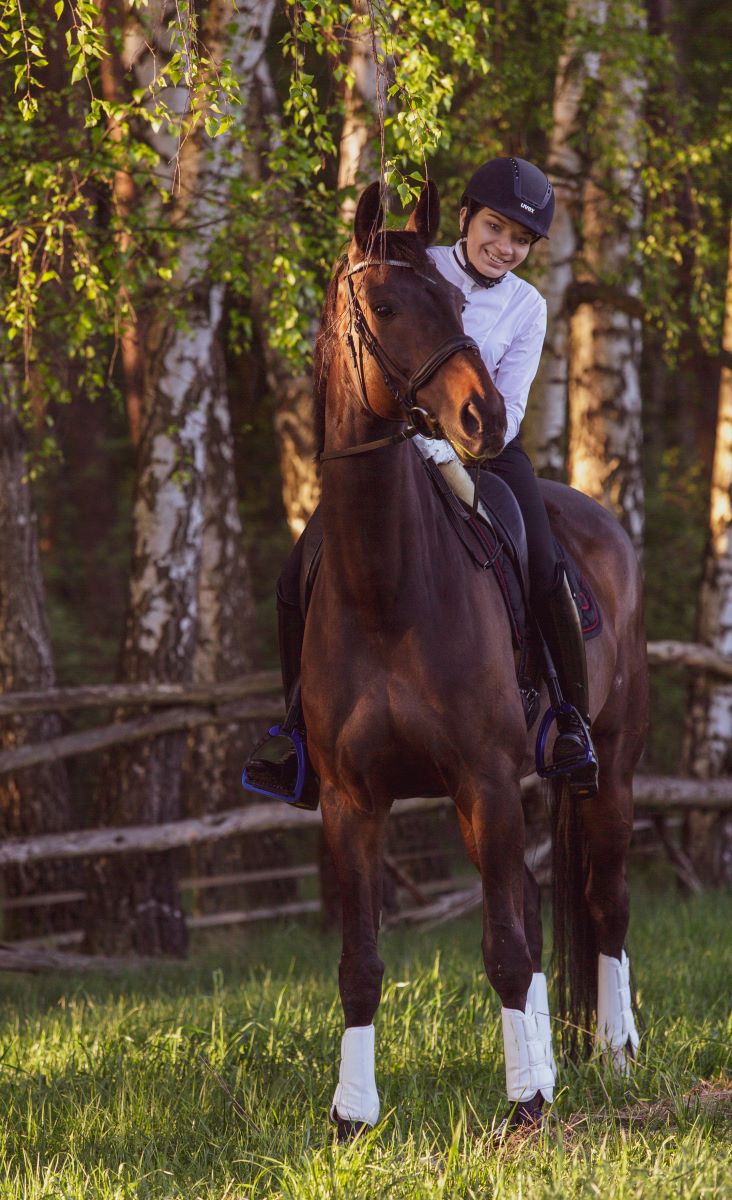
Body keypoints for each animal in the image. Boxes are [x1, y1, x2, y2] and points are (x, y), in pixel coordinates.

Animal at [301, 177, 643, 1132]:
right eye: (384, 305)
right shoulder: (352, 802)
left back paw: (616, 1052)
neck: (386, 589)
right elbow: (362, 964)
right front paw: (351, 1116)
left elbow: (504, 948)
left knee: (604, 903)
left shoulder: (486, 779)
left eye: (456, 305)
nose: (481, 418)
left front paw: (526, 1105)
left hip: (607, 768)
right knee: (532, 907)